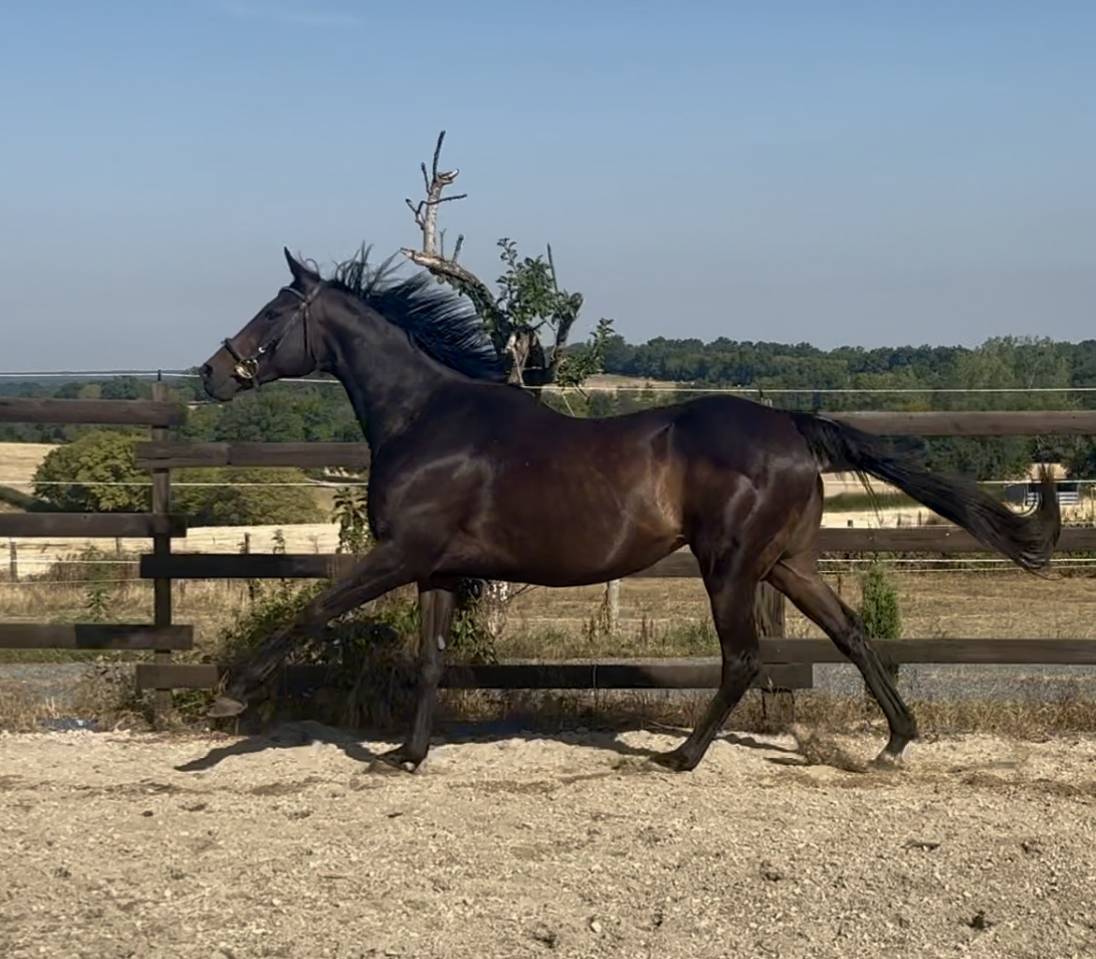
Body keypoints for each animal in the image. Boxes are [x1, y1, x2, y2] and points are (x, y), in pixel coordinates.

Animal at [198, 248, 1060, 772]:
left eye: (272, 313)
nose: (211, 374)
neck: (424, 416)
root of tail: (790, 425)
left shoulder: (401, 553)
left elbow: (313, 610)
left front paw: (228, 695)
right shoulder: (436, 568)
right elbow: (432, 658)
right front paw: (406, 756)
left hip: (731, 565)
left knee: (744, 658)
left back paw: (682, 755)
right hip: (786, 561)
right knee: (849, 630)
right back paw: (896, 740)